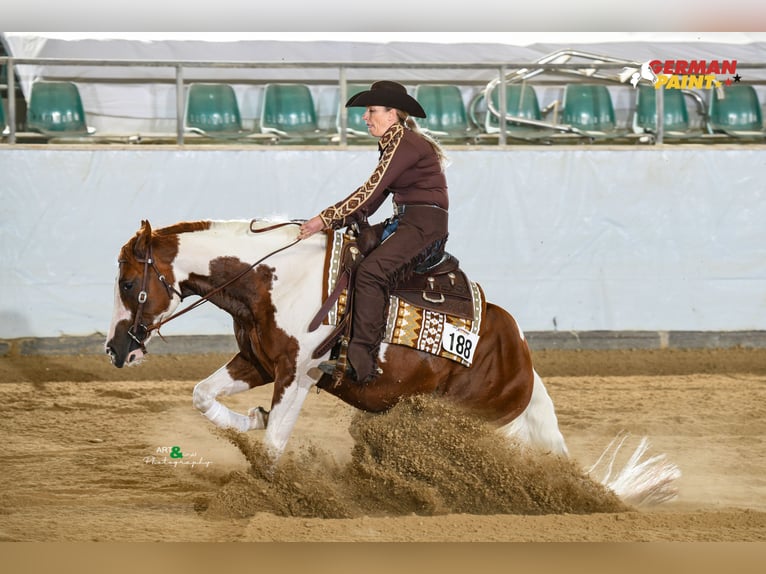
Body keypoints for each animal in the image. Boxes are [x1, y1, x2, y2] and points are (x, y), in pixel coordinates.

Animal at [106, 218, 680, 506]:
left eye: (129, 284)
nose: (115, 349)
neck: (272, 280)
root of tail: (522, 361)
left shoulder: (299, 374)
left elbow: (271, 451)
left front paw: (264, 497)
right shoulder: (259, 361)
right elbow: (204, 396)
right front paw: (251, 418)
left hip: (459, 421)